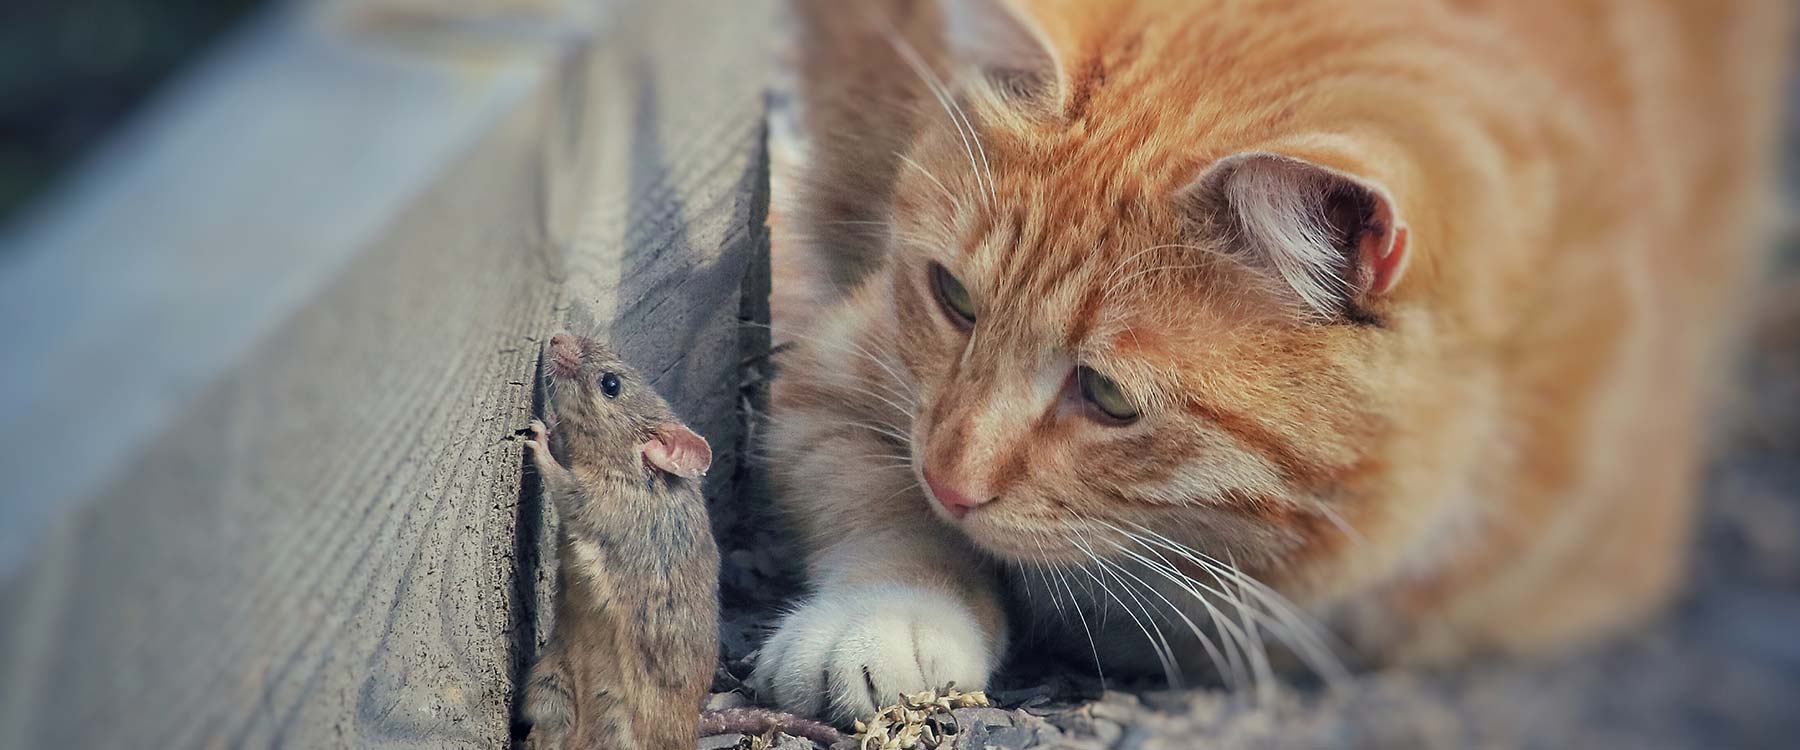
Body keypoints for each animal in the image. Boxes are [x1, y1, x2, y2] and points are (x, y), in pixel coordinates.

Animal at [745, 0, 1785, 719]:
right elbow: (875, 499)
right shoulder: (838, 367)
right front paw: (887, 615)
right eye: (954, 298)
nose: (950, 479)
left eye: (1107, 395)